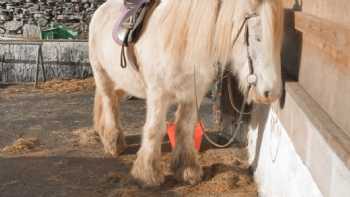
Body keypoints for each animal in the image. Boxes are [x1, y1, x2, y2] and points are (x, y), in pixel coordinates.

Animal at [89, 0, 284, 186]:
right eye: (257, 38)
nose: (272, 92)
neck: (183, 42)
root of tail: (100, 9)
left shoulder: (192, 95)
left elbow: (185, 127)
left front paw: (187, 170)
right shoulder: (158, 94)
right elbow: (154, 129)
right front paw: (147, 174)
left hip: (123, 80)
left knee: (113, 101)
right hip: (101, 73)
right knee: (108, 101)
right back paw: (113, 142)